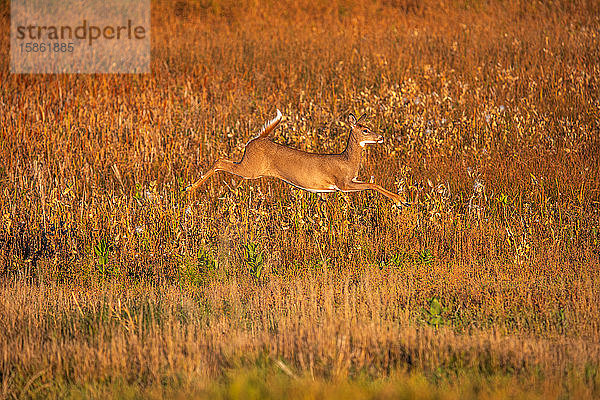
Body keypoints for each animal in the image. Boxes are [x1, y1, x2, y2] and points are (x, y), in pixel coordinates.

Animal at [185, 110, 406, 206]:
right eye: (366, 130)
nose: (381, 137)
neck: (347, 161)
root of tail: (258, 139)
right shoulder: (342, 183)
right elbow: (373, 185)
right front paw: (401, 200)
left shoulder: (349, 181)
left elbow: (372, 183)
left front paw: (401, 199)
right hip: (250, 168)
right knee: (220, 161)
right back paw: (189, 189)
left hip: (248, 165)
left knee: (222, 160)